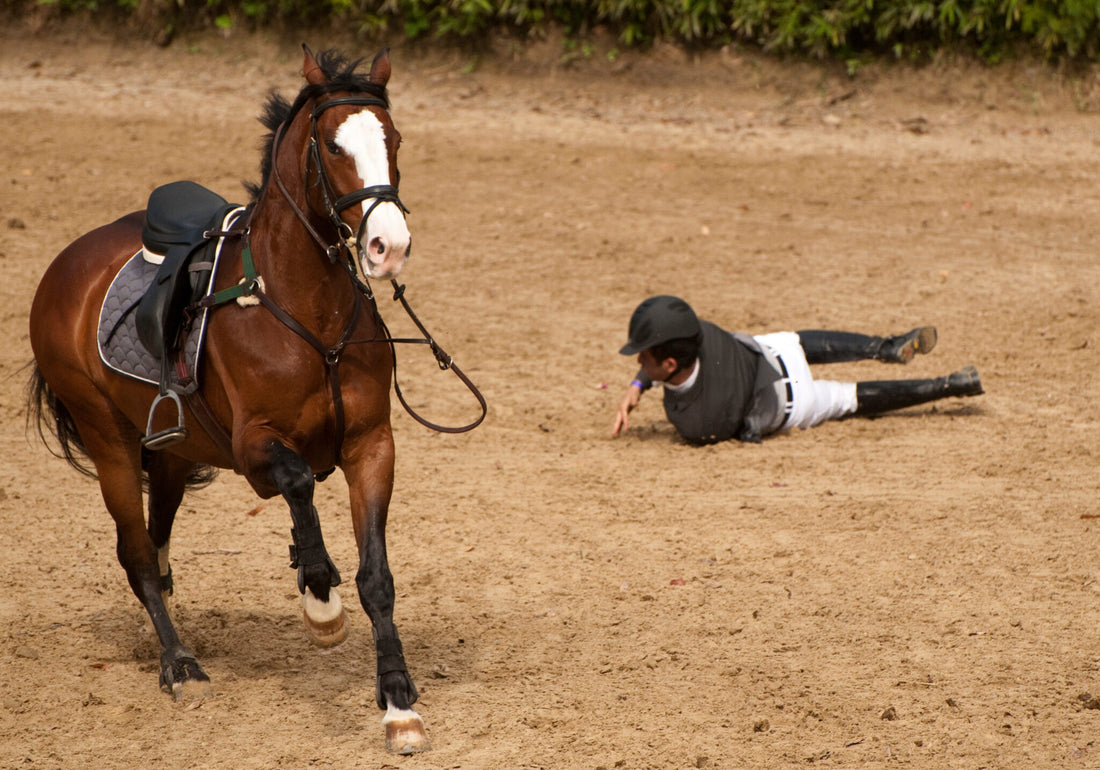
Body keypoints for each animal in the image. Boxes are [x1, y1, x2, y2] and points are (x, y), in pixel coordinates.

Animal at [25, 45, 433, 756]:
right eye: (332, 145)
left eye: (395, 140)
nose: (390, 247)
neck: (308, 314)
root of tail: (65, 265)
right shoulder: (254, 448)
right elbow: (299, 485)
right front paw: (320, 602)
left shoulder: (371, 445)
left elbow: (376, 577)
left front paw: (398, 704)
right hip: (108, 442)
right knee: (137, 553)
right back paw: (180, 666)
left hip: (169, 452)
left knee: (157, 547)